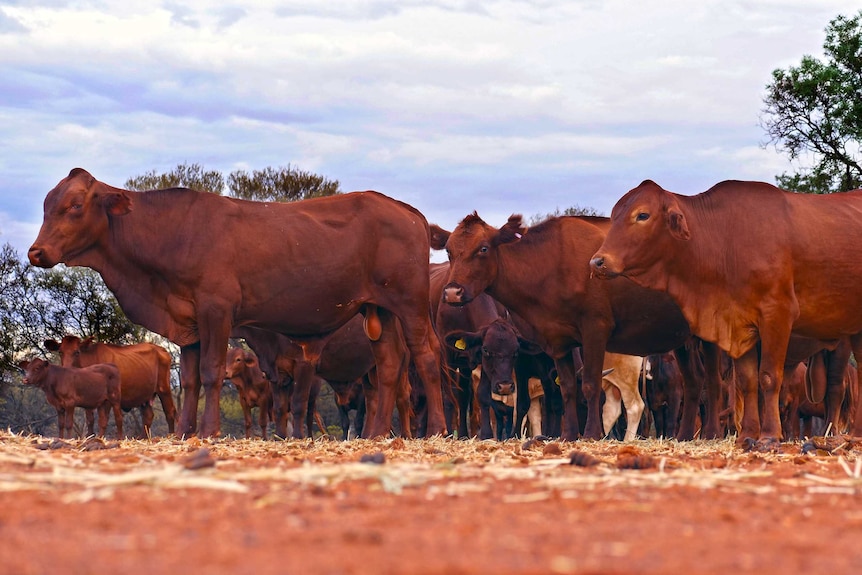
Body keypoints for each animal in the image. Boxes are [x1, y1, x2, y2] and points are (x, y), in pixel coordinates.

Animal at [46, 338, 178, 436]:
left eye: (77, 352)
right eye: (60, 352)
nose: (66, 369)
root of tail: (161, 349)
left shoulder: (107, 398)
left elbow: (103, 420)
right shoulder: (87, 398)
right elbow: (90, 420)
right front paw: (90, 437)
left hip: (164, 389)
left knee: (170, 412)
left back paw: (171, 437)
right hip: (144, 395)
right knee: (148, 416)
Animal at [430, 214, 724, 444]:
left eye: (483, 249)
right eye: (449, 252)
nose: (453, 293)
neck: (550, 264)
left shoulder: (595, 329)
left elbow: (590, 384)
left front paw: (592, 433)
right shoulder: (559, 341)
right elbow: (568, 388)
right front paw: (569, 434)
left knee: (711, 380)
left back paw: (711, 433)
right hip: (684, 339)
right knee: (694, 379)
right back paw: (685, 435)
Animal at [592, 180, 862, 446]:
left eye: (642, 215)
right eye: (614, 215)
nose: (597, 262)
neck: (725, 240)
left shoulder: (777, 314)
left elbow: (768, 377)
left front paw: (769, 436)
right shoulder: (739, 325)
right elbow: (747, 381)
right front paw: (747, 436)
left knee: (835, 388)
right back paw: (857, 435)